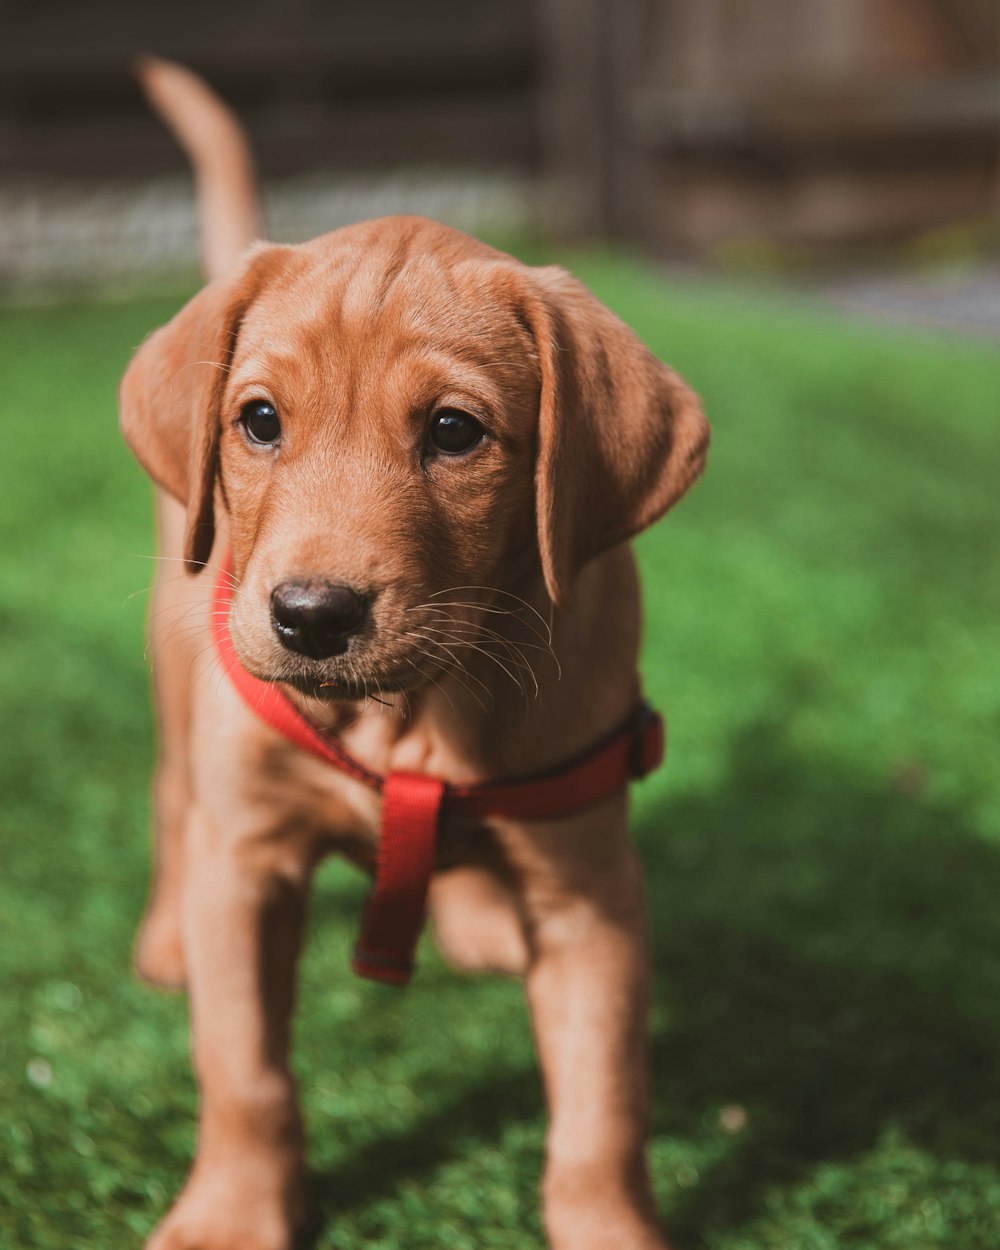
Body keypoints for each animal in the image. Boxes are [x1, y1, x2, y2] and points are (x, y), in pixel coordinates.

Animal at [121, 60, 705, 1250]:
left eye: (453, 431)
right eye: (259, 420)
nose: (311, 615)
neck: (412, 716)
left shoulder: (592, 894)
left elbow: (602, 1109)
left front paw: (608, 1225)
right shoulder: (245, 862)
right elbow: (244, 1070)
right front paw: (231, 1213)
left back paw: (477, 916)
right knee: (169, 793)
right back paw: (164, 940)